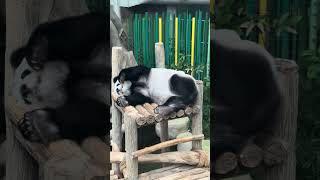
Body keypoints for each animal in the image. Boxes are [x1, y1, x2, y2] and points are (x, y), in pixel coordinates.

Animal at [10, 13, 110, 145]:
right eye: (25, 101)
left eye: (24, 74)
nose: (24, 90)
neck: (65, 82)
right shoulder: (92, 98)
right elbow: (91, 116)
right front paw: (33, 126)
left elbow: (82, 29)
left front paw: (37, 52)